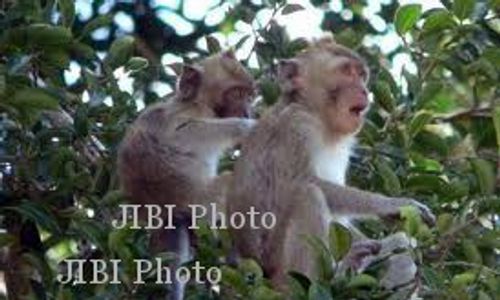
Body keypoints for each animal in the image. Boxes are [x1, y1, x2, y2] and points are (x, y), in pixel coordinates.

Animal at [117, 50, 256, 298]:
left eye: (249, 96)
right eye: (237, 94)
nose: (248, 111)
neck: (197, 102)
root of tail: (163, 211)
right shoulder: (191, 115)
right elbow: (184, 132)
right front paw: (248, 128)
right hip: (201, 202)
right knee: (230, 181)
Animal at [227, 36, 434, 292]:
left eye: (361, 75)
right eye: (346, 71)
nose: (364, 91)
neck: (319, 118)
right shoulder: (296, 126)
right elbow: (301, 182)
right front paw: (393, 205)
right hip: (276, 267)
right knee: (308, 195)